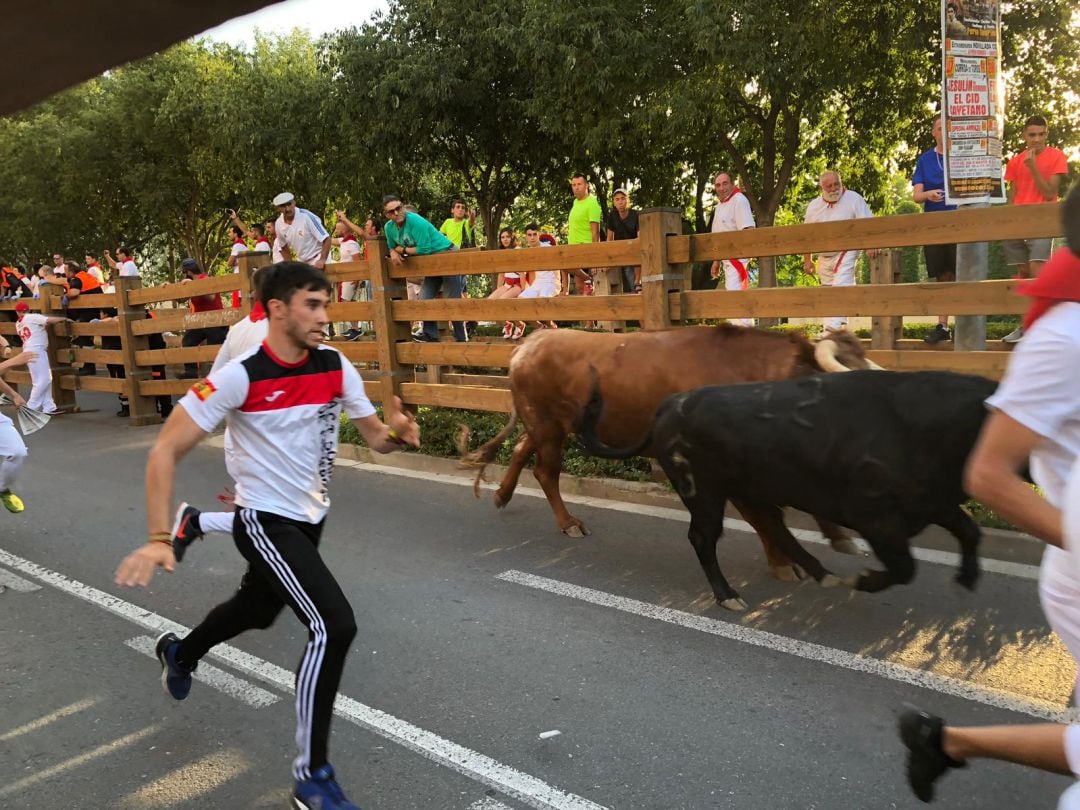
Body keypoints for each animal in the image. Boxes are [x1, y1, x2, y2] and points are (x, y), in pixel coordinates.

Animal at [457, 326, 876, 583]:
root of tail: (533, 339)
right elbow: (764, 517)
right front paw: (785, 563)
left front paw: (834, 539)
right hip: (545, 424)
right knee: (546, 471)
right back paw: (568, 522)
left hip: (547, 425)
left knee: (521, 449)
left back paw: (502, 495)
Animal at [578, 367, 997, 609]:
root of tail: (669, 405)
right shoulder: (877, 520)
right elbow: (905, 568)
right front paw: (863, 579)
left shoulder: (936, 504)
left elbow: (970, 532)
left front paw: (967, 577)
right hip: (705, 494)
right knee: (704, 537)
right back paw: (729, 596)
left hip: (748, 491)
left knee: (773, 529)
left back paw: (822, 574)